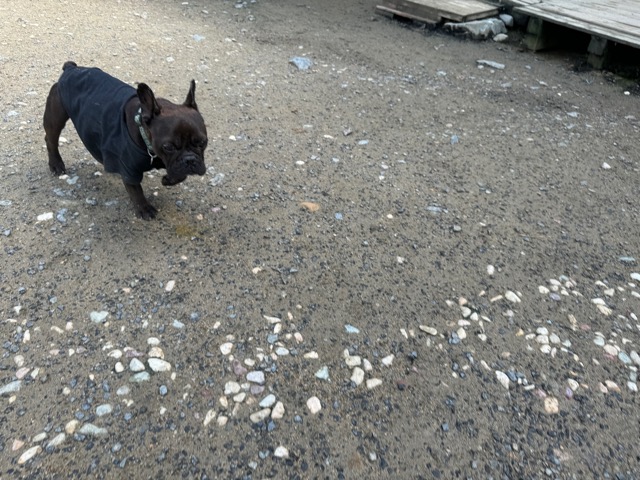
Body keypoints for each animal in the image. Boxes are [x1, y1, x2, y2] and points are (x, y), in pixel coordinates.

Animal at [43, 61, 208, 219]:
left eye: (203, 142)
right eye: (168, 147)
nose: (190, 160)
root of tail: (71, 68)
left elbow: (179, 173)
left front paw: (168, 179)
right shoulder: (129, 169)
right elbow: (136, 190)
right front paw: (144, 208)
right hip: (56, 117)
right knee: (51, 139)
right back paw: (56, 164)